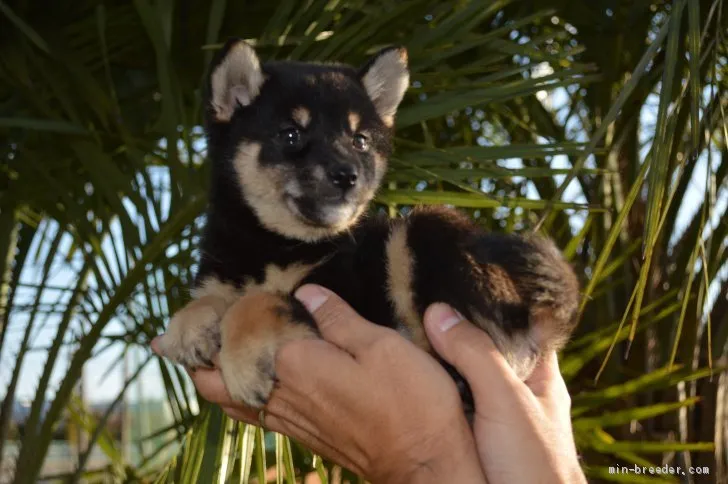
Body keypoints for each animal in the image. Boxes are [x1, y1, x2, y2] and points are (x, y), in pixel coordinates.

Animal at [158, 39, 580, 412]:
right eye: (291, 134)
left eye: (359, 140)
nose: (347, 175)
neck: (272, 243)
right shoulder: (224, 279)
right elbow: (213, 300)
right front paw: (188, 327)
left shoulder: (338, 292)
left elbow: (260, 302)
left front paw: (242, 362)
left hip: (427, 229)